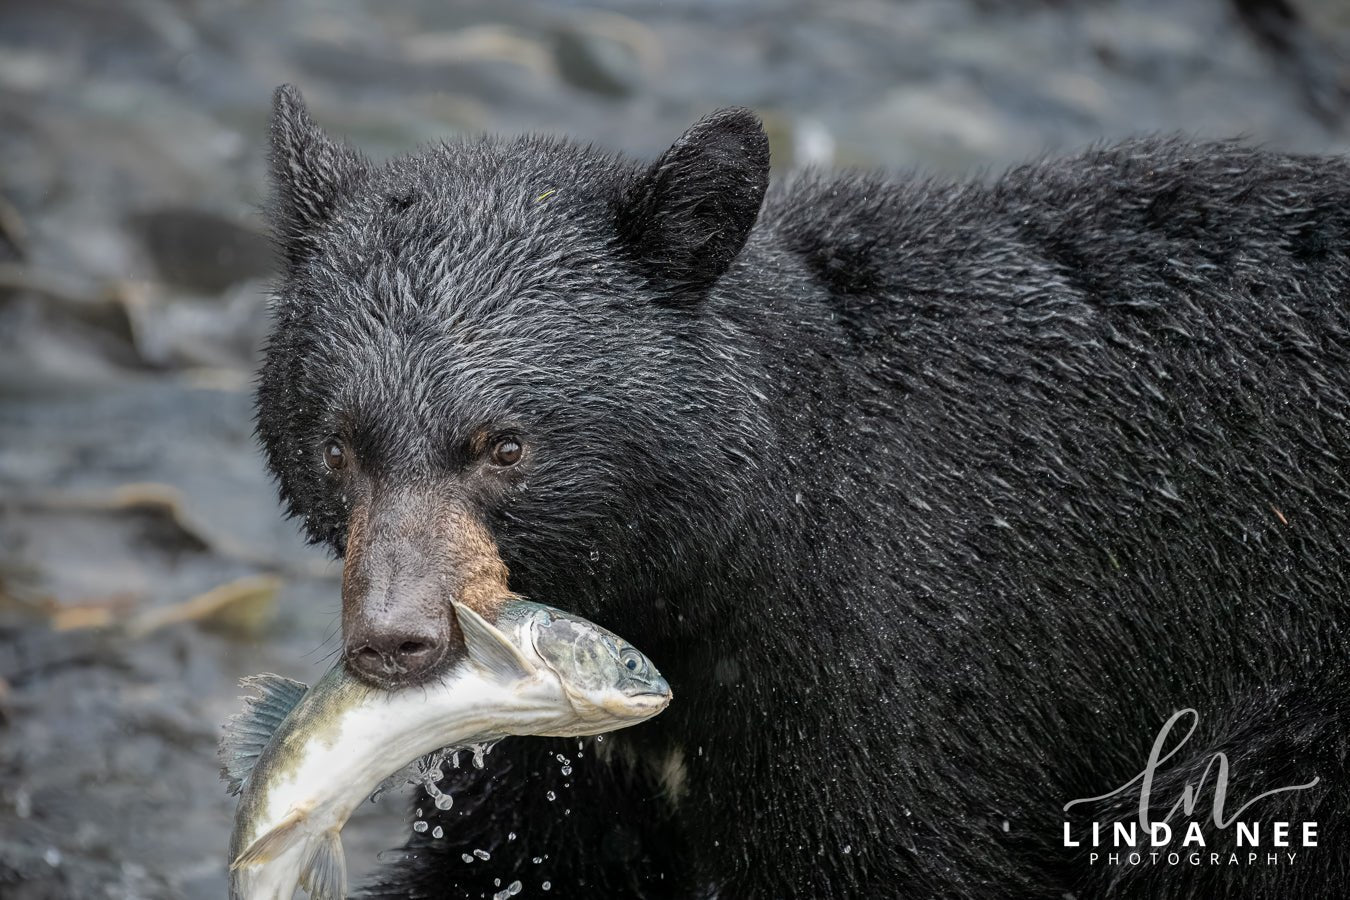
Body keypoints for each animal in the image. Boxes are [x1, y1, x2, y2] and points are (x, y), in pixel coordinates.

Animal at [255, 82, 1350, 895]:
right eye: (338, 447)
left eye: (505, 446)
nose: (394, 641)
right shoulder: (555, 747)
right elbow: (511, 860)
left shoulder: (893, 684)